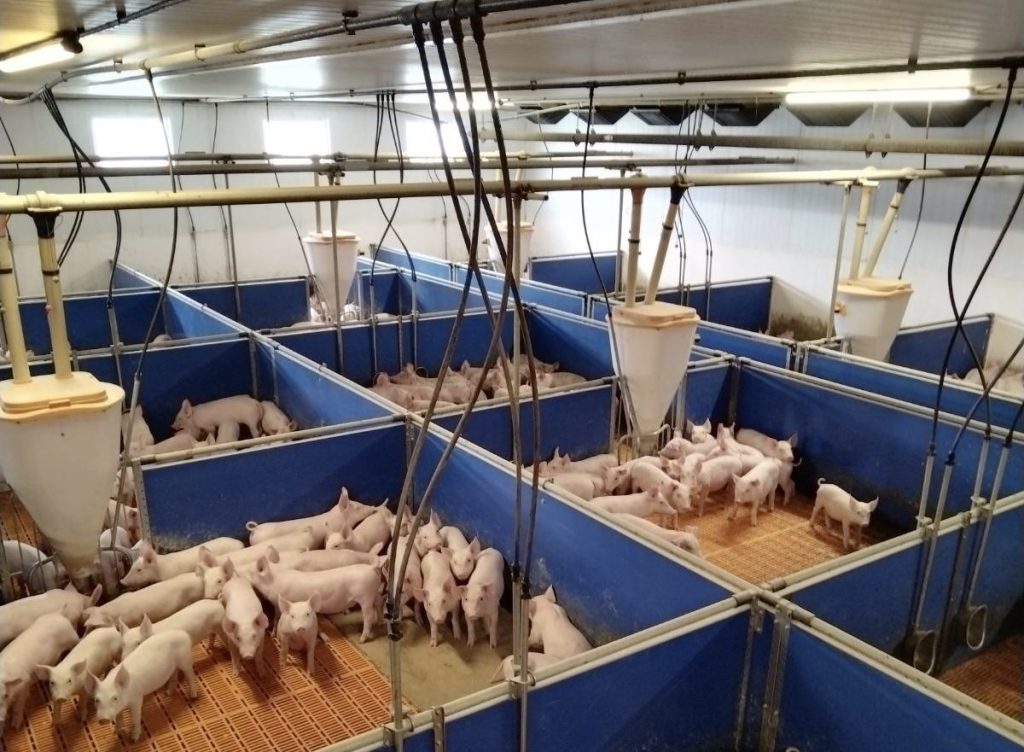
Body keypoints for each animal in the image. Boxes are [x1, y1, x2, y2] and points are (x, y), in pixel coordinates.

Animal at [251, 552, 382, 643]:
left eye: (250, 571)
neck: (274, 580)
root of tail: (371, 567)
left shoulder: (280, 603)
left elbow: (277, 618)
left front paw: (274, 635)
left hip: (366, 597)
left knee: (368, 616)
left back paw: (362, 639)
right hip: (374, 594)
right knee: (378, 605)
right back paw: (377, 625)